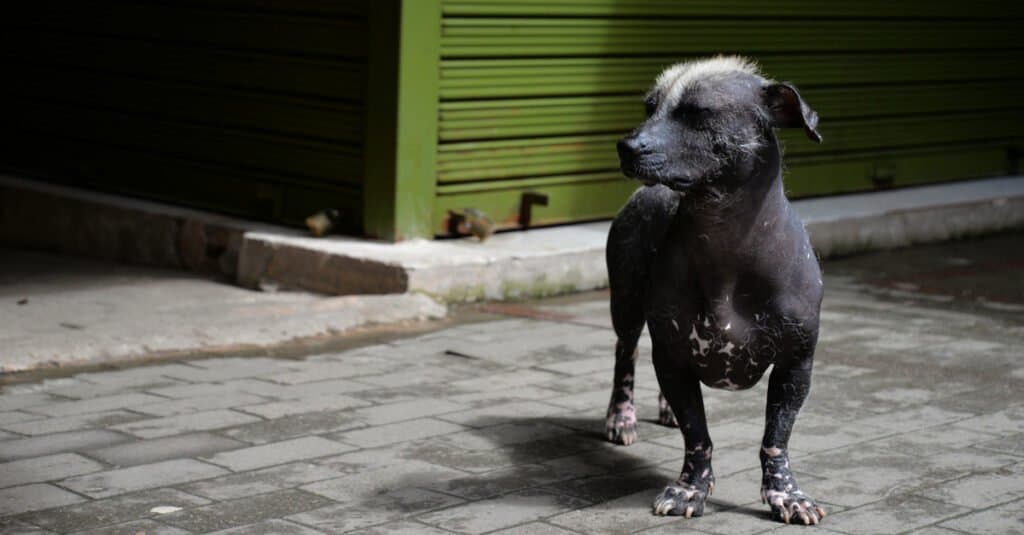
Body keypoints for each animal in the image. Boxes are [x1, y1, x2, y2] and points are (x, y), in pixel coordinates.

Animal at [602, 56, 827, 522]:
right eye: (649, 107)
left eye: (698, 113)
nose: (626, 146)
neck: (724, 242)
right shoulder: (670, 358)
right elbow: (698, 435)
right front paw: (690, 490)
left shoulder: (797, 365)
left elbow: (776, 438)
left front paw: (787, 494)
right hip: (626, 306)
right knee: (624, 356)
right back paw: (621, 417)